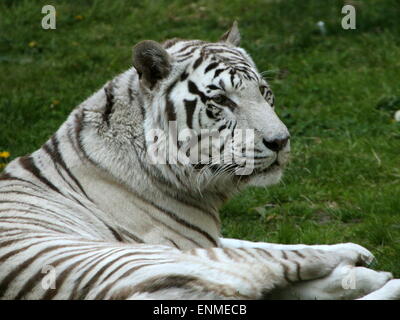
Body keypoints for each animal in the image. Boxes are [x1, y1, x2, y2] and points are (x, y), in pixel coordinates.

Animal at [0, 23, 400, 300]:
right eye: (221, 101)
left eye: (264, 92)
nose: (280, 142)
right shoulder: (190, 242)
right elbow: (274, 249)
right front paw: (355, 258)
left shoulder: (205, 238)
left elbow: (258, 242)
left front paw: (354, 252)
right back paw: (382, 279)